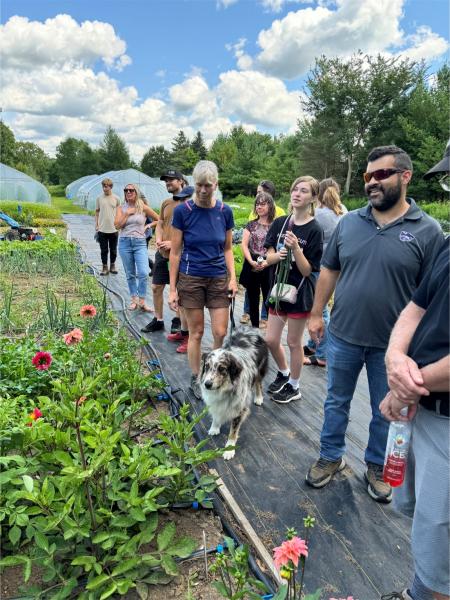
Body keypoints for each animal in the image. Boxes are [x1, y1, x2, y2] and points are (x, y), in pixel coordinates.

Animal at [200, 328, 268, 460]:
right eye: (207, 366)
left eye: (221, 368)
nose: (207, 384)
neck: (224, 389)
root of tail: (252, 328)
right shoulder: (215, 402)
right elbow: (216, 414)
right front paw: (215, 427)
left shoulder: (240, 409)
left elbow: (233, 431)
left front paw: (229, 450)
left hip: (260, 369)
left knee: (258, 383)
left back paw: (258, 397)